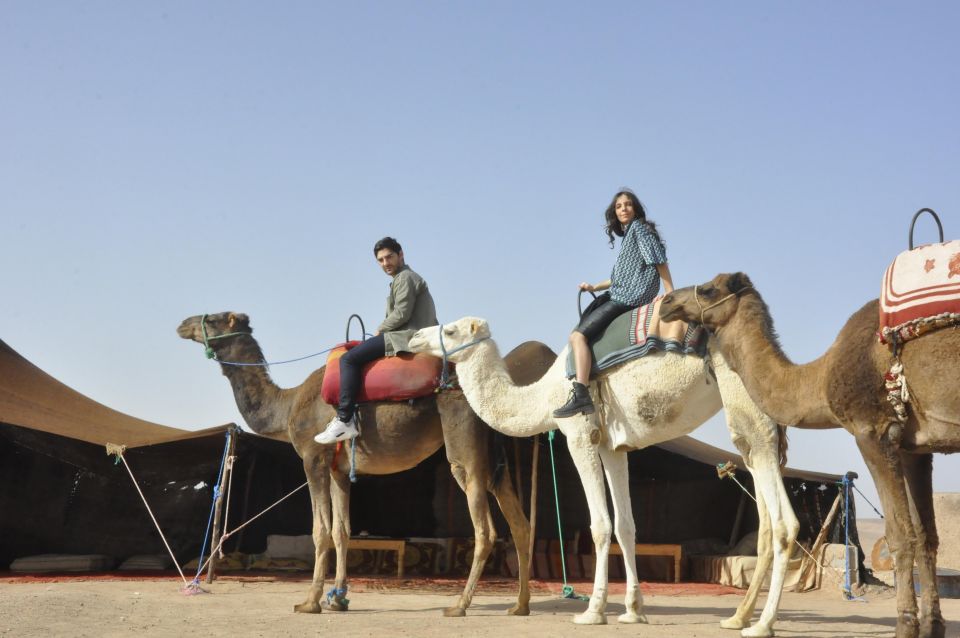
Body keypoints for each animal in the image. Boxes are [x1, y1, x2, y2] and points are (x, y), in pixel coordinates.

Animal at [179, 312, 556, 616]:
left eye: (215, 317)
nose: (183, 324)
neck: (286, 406)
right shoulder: (338, 469)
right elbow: (342, 531)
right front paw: (338, 598)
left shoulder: (313, 458)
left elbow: (320, 531)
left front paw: (310, 602)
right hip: (496, 456)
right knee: (521, 525)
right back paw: (519, 605)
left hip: (462, 438)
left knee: (484, 525)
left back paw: (459, 605)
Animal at [410, 320, 804, 638]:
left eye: (450, 331)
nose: (413, 338)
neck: (544, 395)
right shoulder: (613, 447)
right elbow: (626, 527)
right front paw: (633, 611)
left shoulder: (579, 433)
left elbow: (600, 525)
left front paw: (593, 611)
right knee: (763, 512)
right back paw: (738, 617)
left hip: (744, 397)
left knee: (782, 516)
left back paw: (762, 624)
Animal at [660, 274, 960, 638]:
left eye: (707, 290)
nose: (666, 302)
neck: (821, 376)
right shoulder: (914, 447)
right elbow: (926, 536)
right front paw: (932, 626)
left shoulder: (873, 431)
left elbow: (901, 535)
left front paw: (906, 626)